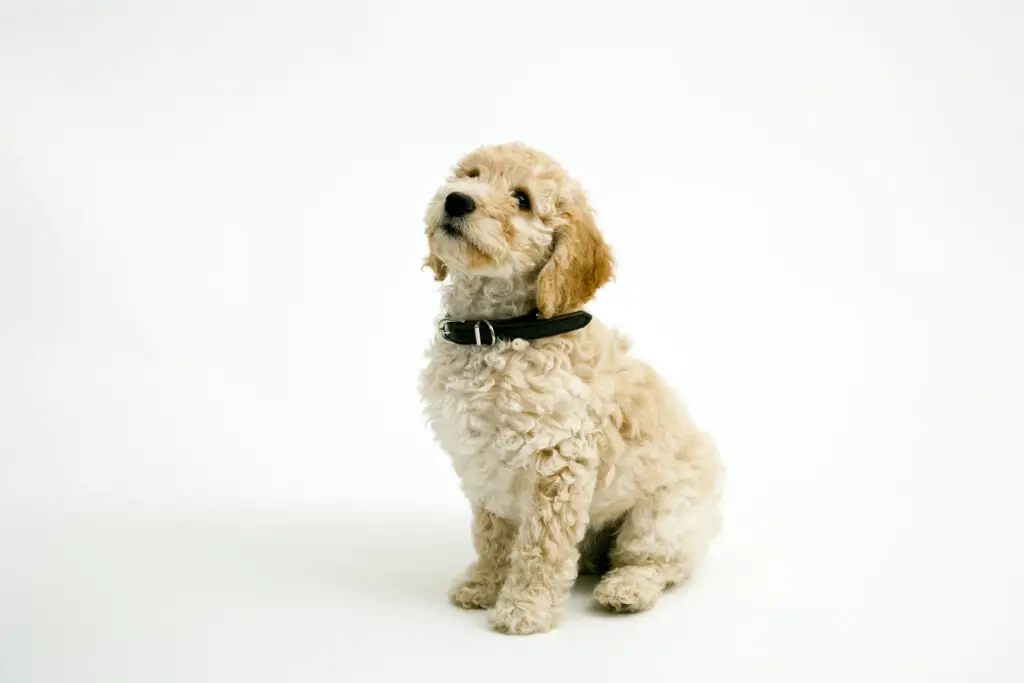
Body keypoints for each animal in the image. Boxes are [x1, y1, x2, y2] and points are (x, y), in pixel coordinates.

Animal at [415, 144, 720, 634]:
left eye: (521, 199)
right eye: (471, 174)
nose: (457, 200)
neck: (498, 333)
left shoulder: (559, 462)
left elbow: (542, 546)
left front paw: (525, 608)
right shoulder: (482, 464)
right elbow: (491, 534)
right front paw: (483, 584)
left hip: (666, 515)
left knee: (656, 561)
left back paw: (626, 589)